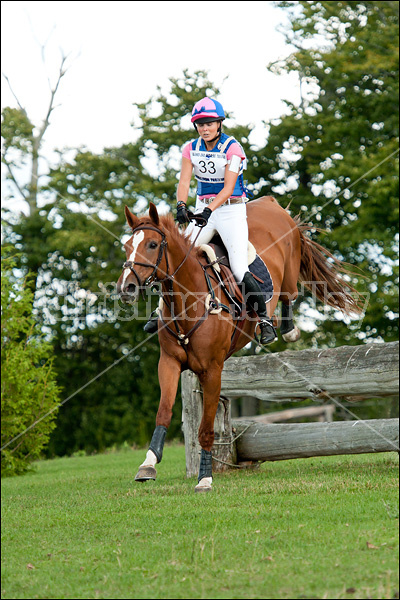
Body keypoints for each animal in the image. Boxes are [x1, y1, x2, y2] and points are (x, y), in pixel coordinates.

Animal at [116, 197, 360, 492]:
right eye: (127, 246)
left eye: (152, 245)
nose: (126, 288)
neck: (188, 301)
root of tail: (270, 202)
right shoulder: (169, 363)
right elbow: (163, 413)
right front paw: (148, 464)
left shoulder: (212, 370)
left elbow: (206, 428)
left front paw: (205, 477)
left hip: (289, 269)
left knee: (288, 293)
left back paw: (281, 328)